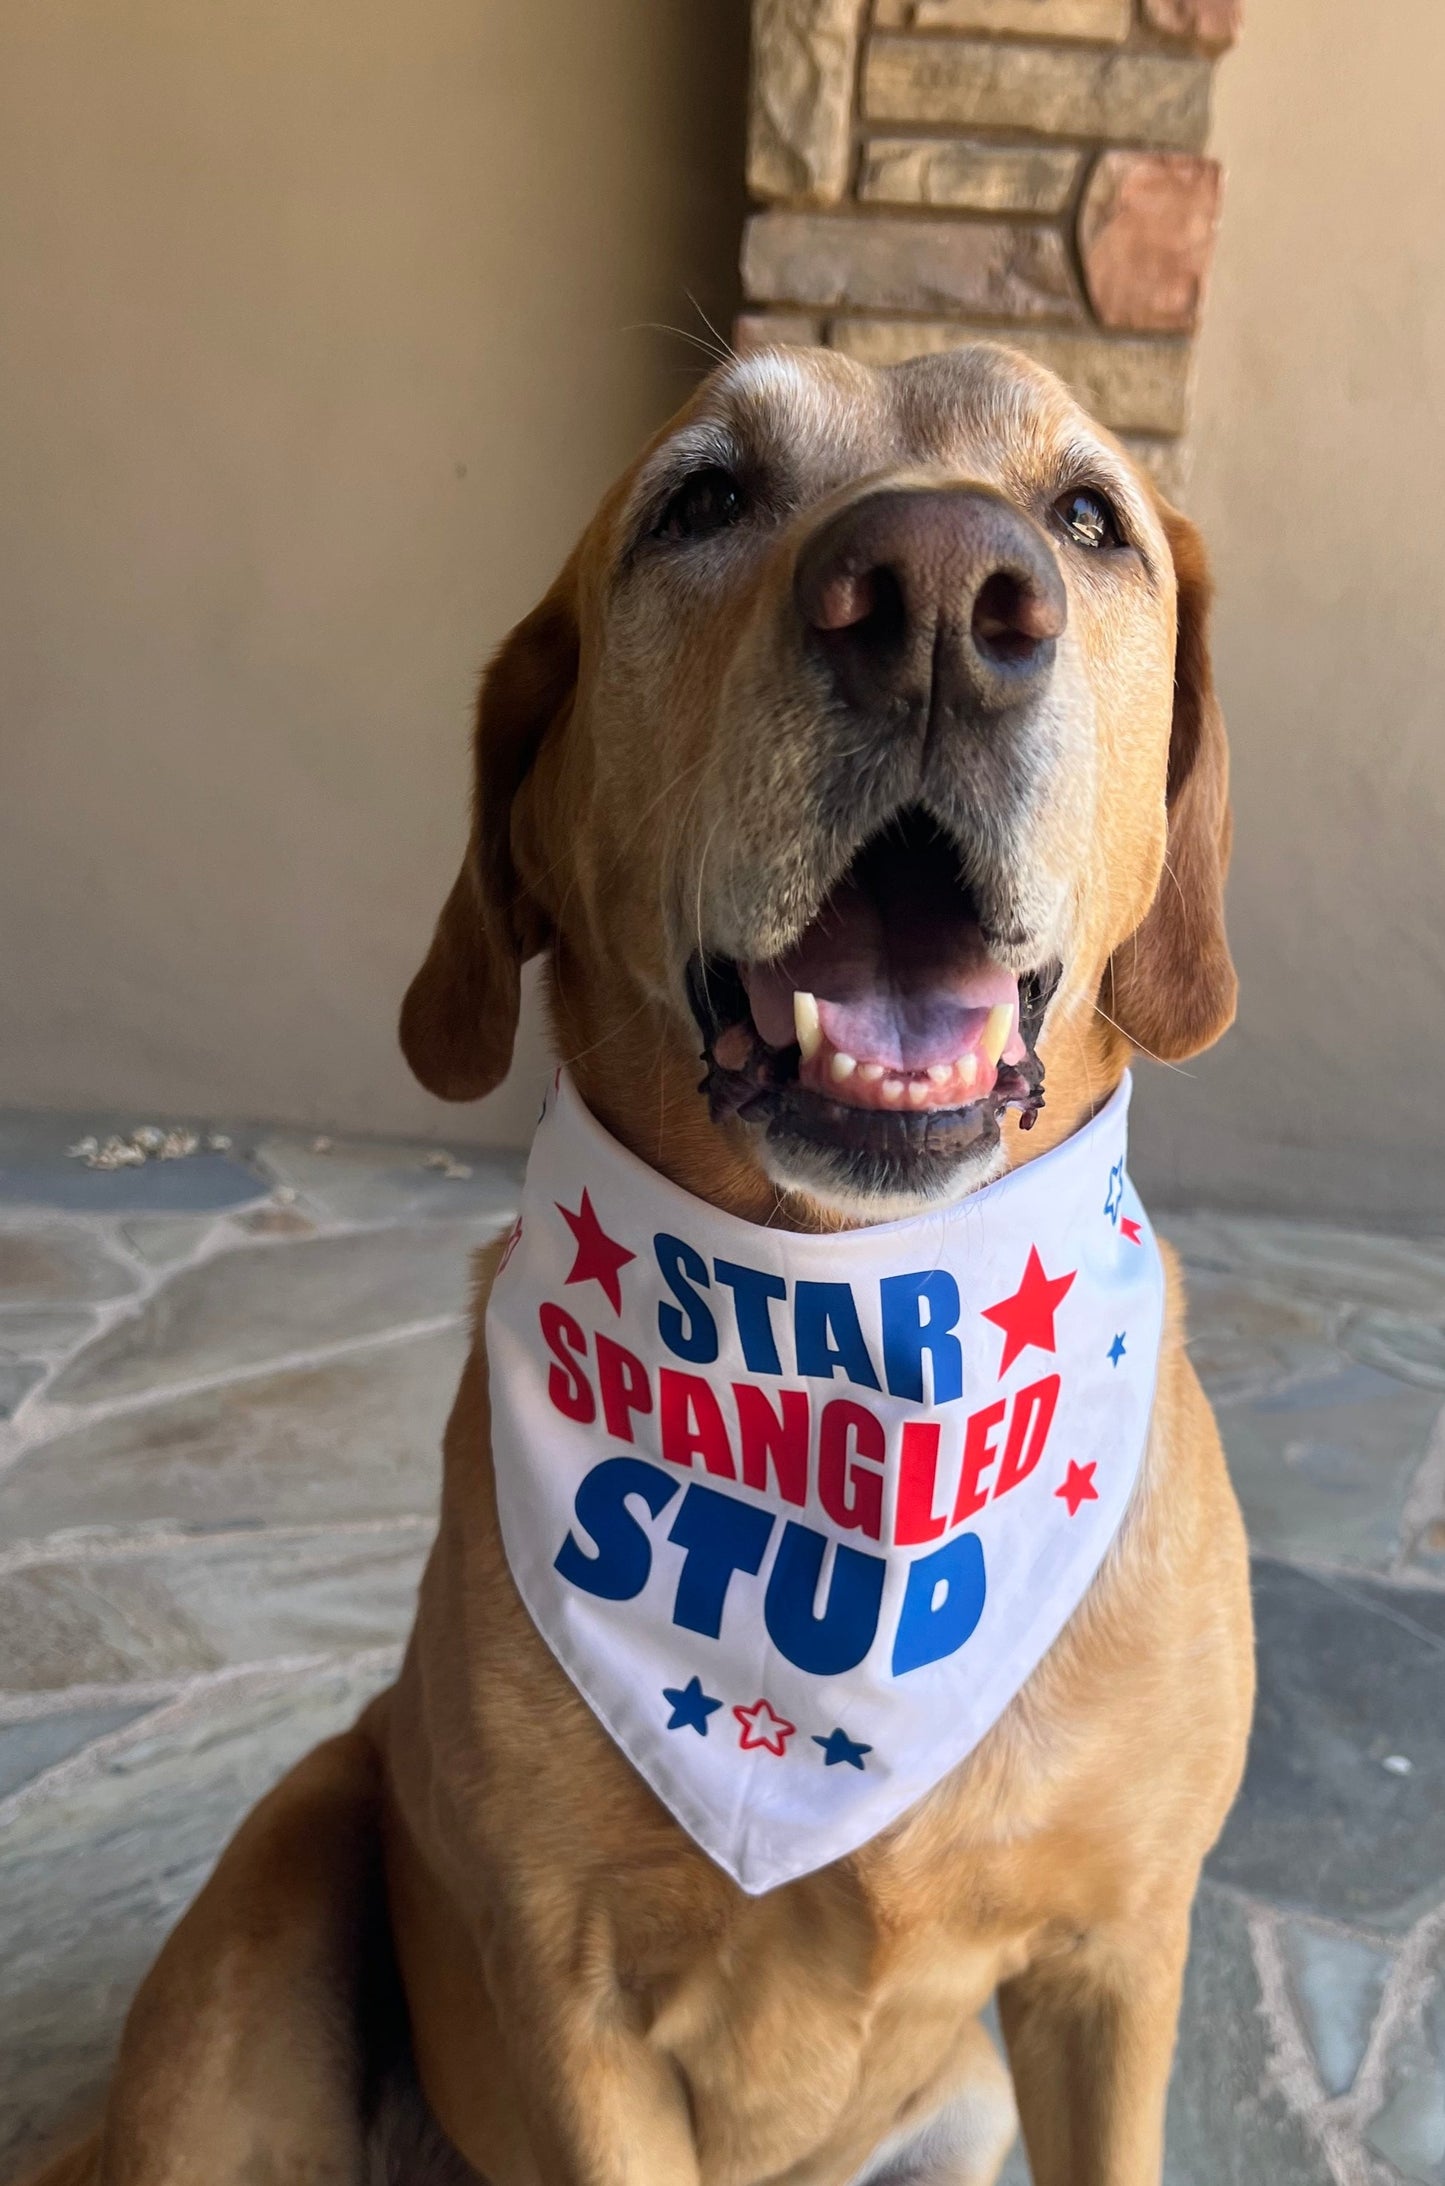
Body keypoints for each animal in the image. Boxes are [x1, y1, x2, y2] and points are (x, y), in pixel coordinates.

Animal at [28, 345, 1259, 2186]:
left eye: (1088, 515)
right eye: (703, 497)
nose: (939, 597)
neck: (843, 1339)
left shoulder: (1115, 1960)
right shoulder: (572, 1996)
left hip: (964, 2106)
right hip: (274, 1905)